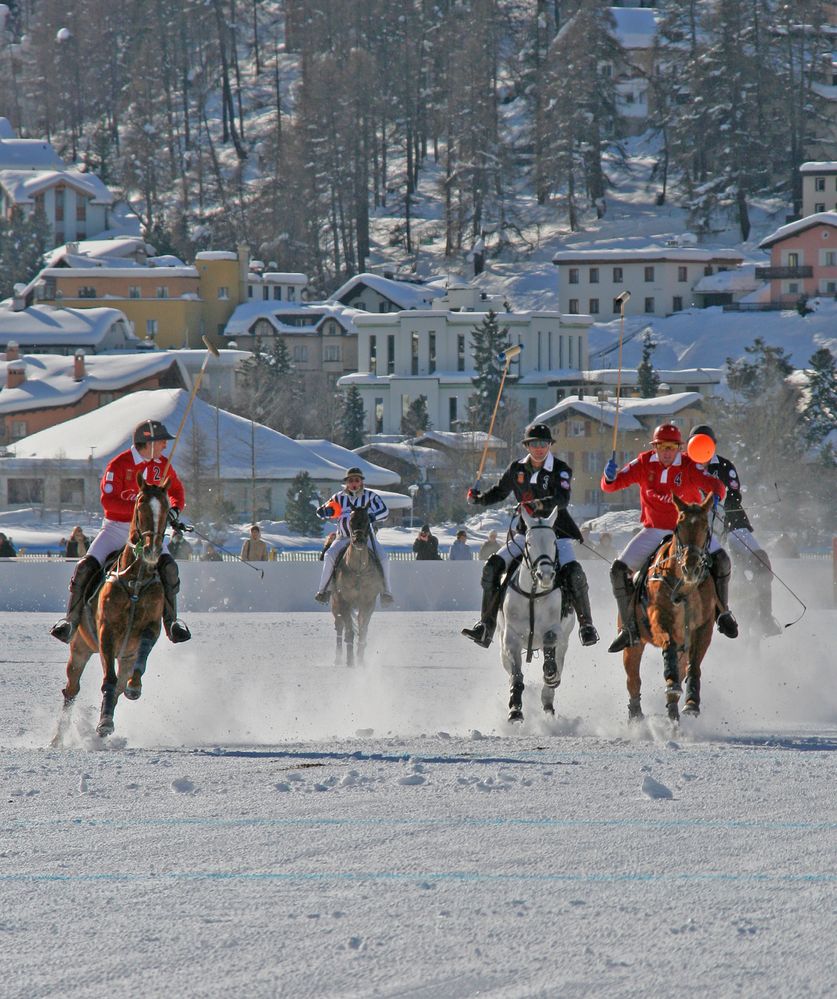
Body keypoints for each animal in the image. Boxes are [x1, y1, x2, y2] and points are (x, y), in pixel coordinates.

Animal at [54, 472, 171, 740]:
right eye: (140, 505)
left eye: (167, 508)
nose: (152, 550)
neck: (136, 580)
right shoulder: (106, 630)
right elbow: (108, 678)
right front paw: (105, 723)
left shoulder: (150, 629)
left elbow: (138, 665)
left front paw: (134, 687)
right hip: (80, 647)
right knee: (71, 690)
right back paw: (59, 738)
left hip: (124, 655)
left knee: (118, 685)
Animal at [332, 508, 384, 664]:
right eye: (350, 521)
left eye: (367, 520)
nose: (358, 540)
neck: (359, 570)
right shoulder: (344, 601)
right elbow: (349, 631)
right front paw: (350, 661)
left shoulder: (368, 602)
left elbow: (363, 630)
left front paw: (360, 659)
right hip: (334, 604)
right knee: (339, 626)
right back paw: (338, 658)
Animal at [496, 508, 576, 720]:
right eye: (529, 543)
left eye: (554, 541)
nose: (545, 575)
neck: (534, 593)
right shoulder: (510, 638)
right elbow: (516, 676)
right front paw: (515, 711)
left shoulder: (556, 630)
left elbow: (550, 639)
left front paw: (550, 672)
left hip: (565, 643)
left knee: (553, 678)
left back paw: (549, 702)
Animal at [624, 496, 716, 724]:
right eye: (679, 526)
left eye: (705, 527)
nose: (690, 568)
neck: (684, 587)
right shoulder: (660, 620)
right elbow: (668, 645)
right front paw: (672, 682)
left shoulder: (704, 627)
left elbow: (694, 664)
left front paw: (691, 703)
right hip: (632, 643)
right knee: (633, 680)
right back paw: (636, 715)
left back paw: (673, 717)